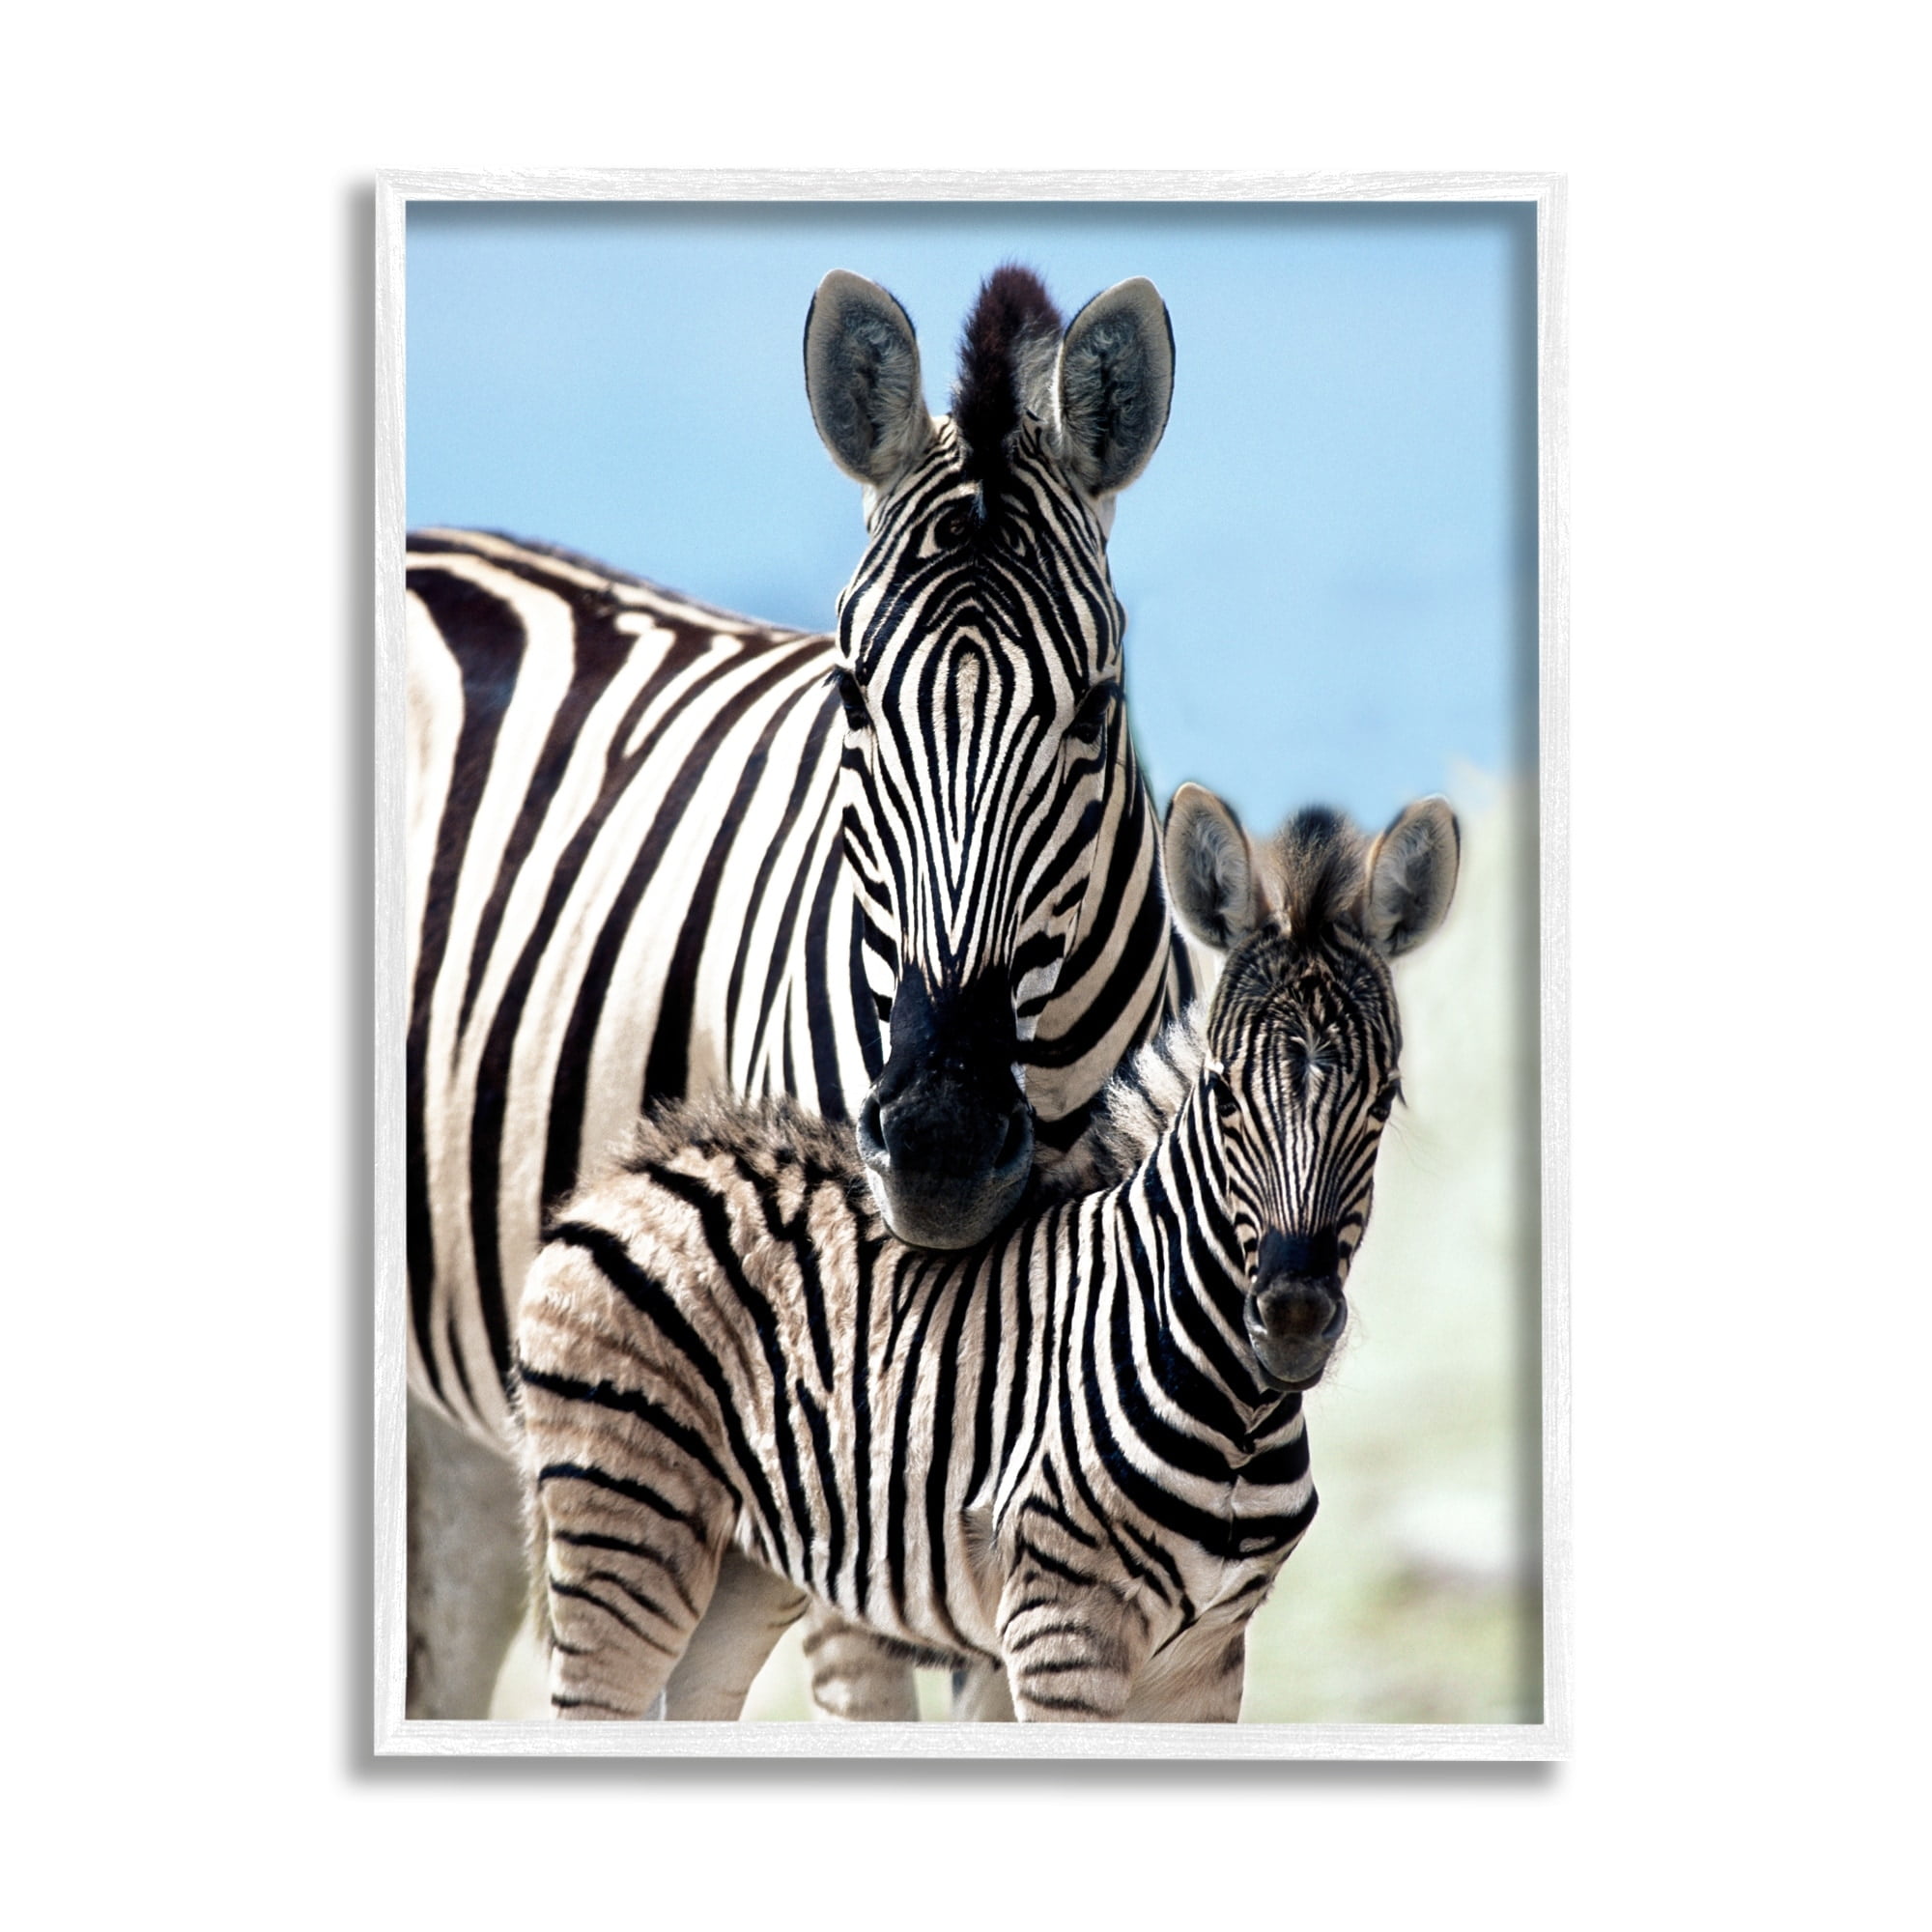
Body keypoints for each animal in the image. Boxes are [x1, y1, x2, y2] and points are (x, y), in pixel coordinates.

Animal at [514, 782, 1461, 1722]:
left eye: (1385, 1100)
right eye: (1225, 1094)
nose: (1293, 1316)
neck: (1236, 1410)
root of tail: (629, 1169)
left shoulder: (1209, 1659)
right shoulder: (1063, 1627)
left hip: (742, 1569)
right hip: (625, 1529)